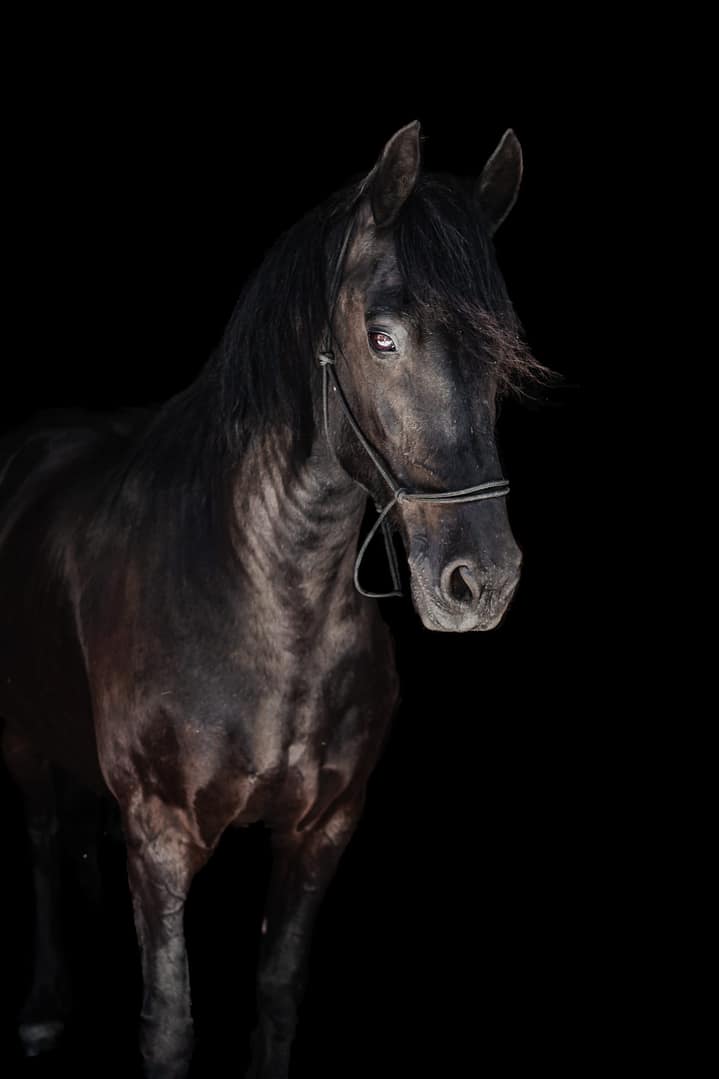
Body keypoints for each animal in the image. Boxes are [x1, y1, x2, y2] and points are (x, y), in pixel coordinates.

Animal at [0, 121, 542, 1078]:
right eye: (382, 337)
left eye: (500, 349)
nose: (481, 581)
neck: (269, 607)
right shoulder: (163, 833)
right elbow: (168, 1025)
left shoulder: (322, 828)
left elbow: (277, 995)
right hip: (23, 739)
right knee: (39, 846)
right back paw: (44, 1007)